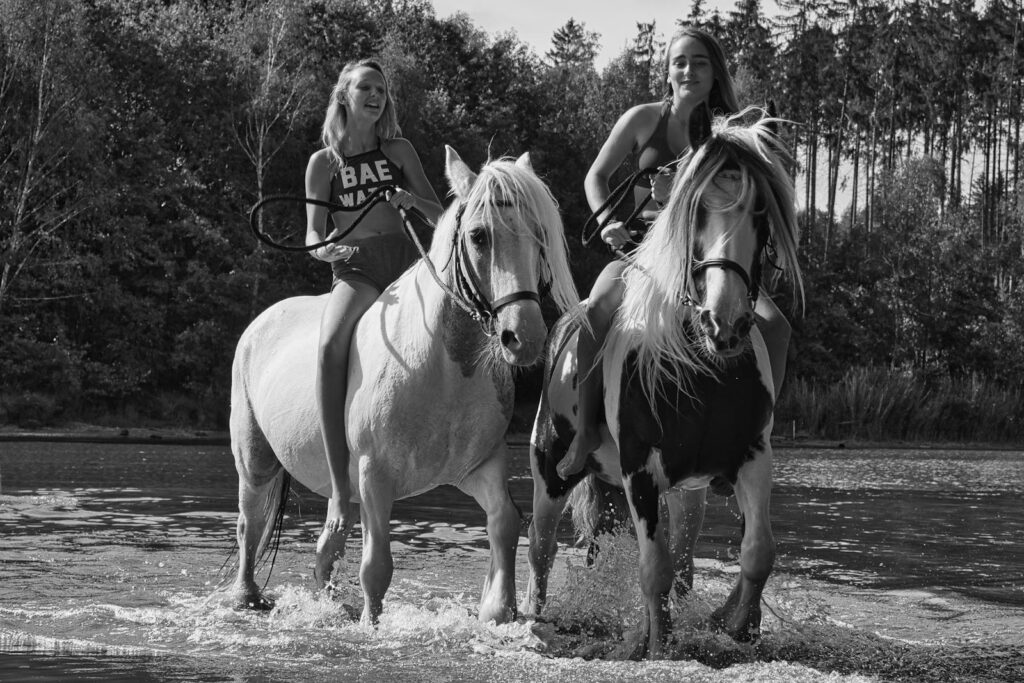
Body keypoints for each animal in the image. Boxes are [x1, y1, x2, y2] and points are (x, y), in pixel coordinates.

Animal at [228, 147, 577, 625]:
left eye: (540, 234)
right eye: (479, 236)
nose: (524, 336)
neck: (442, 369)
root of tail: (260, 323)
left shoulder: (478, 466)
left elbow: (505, 522)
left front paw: (496, 610)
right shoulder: (375, 477)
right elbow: (377, 566)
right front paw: (371, 623)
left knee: (325, 546)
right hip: (255, 459)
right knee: (251, 524)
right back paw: (246, 597)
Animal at [521, 111, 803, 658]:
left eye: (761, 211)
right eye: (696, 210)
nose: (724, 321)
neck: (700, 366)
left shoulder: (753, 455)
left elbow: (758, 551)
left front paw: (737, 625)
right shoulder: (639, 466)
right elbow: (654, 568)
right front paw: (656, 648)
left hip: (685, 493)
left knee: (681, 557)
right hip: (551, 471)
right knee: (541, 550)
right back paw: (532, 621)